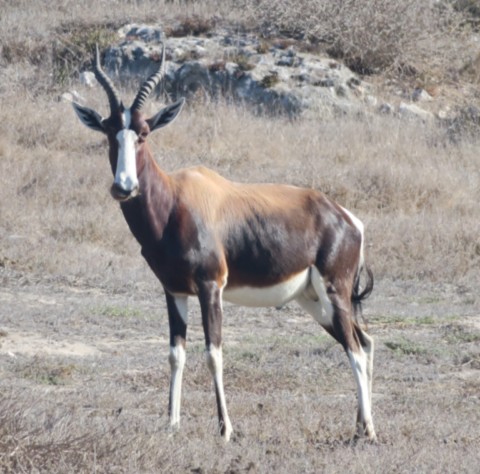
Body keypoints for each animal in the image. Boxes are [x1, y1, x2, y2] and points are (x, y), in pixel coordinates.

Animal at [72, 44, 376, 442]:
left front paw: (225, 429)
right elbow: (176, 354)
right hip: (313, 301)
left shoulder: (210, 286)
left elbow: (213, 352)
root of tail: (346, 218)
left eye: (144, 133)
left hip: (334, 292)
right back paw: (360, 426)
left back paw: (369, 430)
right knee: (364, 342)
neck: (175, 200)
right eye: (109, 131)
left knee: (355, 349)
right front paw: (171, 423)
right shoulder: (174, 291)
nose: (124, 187)